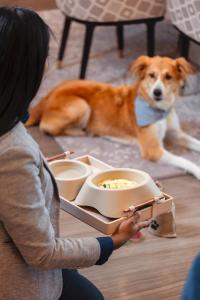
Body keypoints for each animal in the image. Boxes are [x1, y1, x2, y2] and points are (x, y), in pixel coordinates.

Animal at [27, 55, 200, 178]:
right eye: (151, 75)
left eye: (168, 77)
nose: (157, 92)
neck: (160, 109)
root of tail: (48, 94)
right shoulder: (153, 149)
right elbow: (184, 160)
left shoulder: (176, 133)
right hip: (81, 106)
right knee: (47, 127)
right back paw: (82, 131)